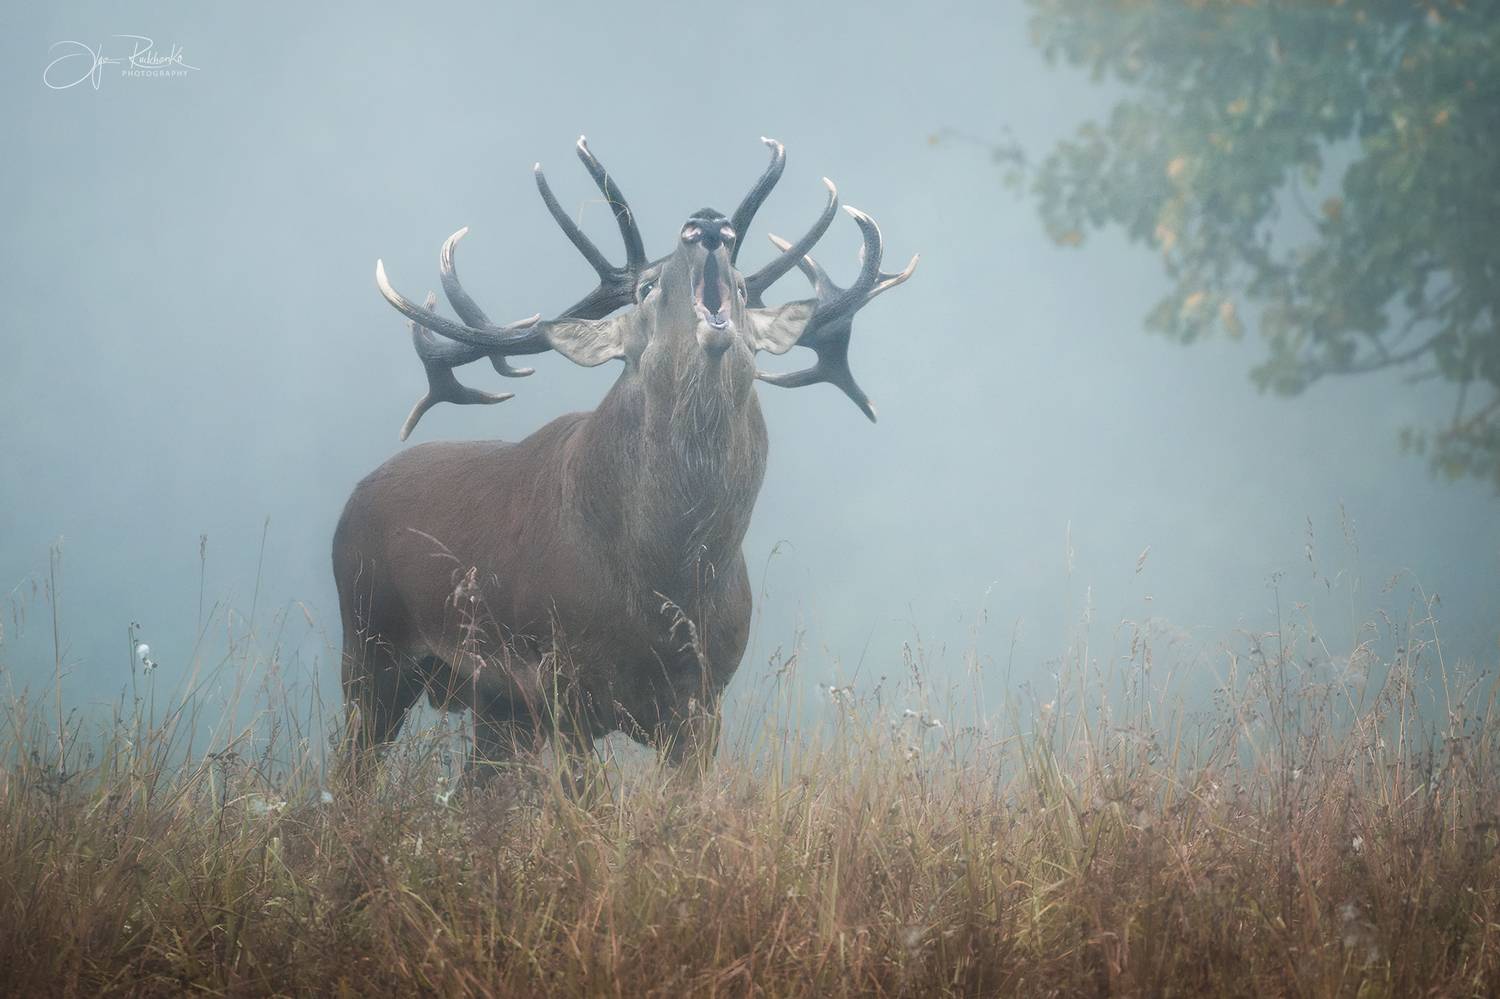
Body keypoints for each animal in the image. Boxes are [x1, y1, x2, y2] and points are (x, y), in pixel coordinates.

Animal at [333, 137, 915, 786]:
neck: (665, 582)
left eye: (743, 289)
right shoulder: (557, 679)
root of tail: (354, 499)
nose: (707, 222)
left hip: (494, 705)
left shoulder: (705, 694)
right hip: (369, 645)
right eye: (646, 289)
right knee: (350, 768)